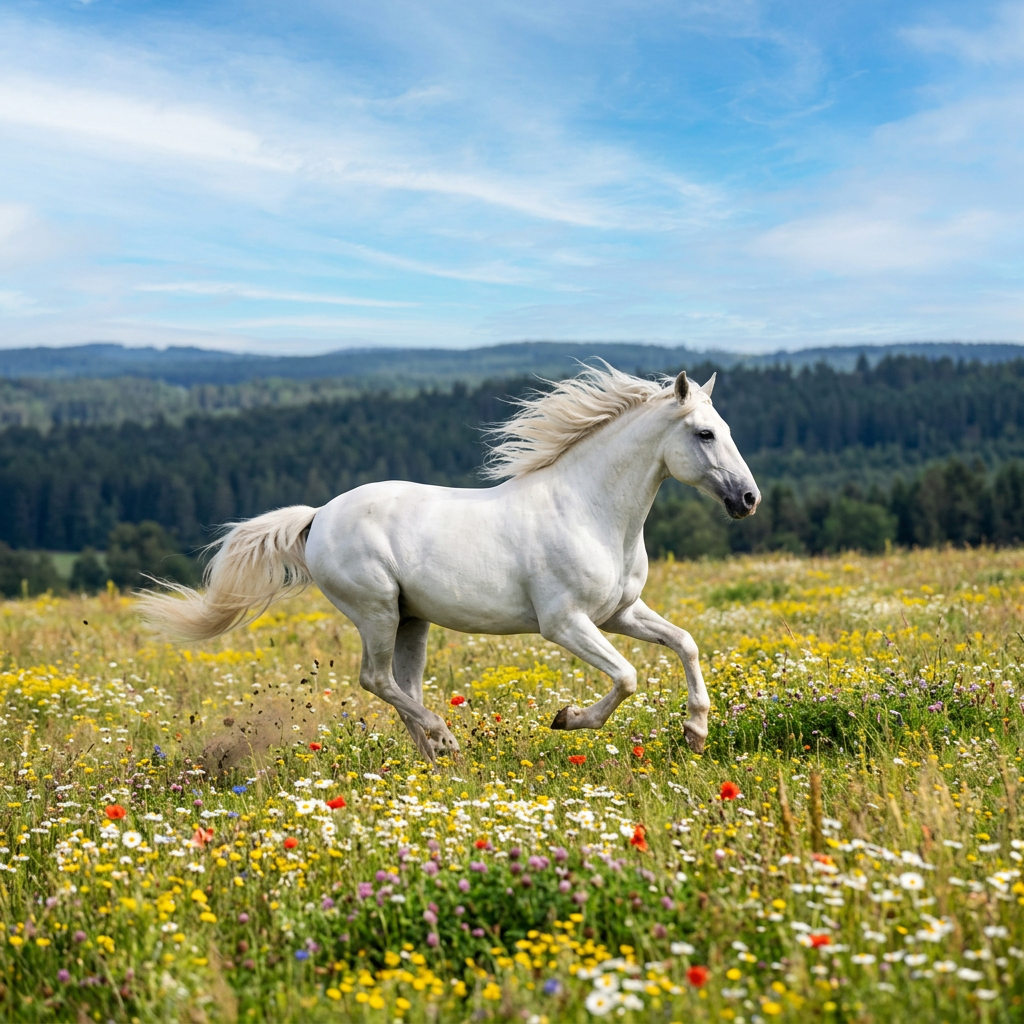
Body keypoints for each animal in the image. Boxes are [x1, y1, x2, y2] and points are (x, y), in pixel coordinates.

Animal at [141, 364, 760, 761]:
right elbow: (628, 676)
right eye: (705, 434)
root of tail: (318, 516)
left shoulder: (619, 613)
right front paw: (567, 719)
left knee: (403, 688)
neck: (591, 511)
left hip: (412, 619)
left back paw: (437, 758)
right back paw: (445, 739)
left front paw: (695, 732)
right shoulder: (565, 623)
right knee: (376, 679)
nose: (748, 500)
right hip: (377, 611)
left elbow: (685, 644)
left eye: (729, 429)